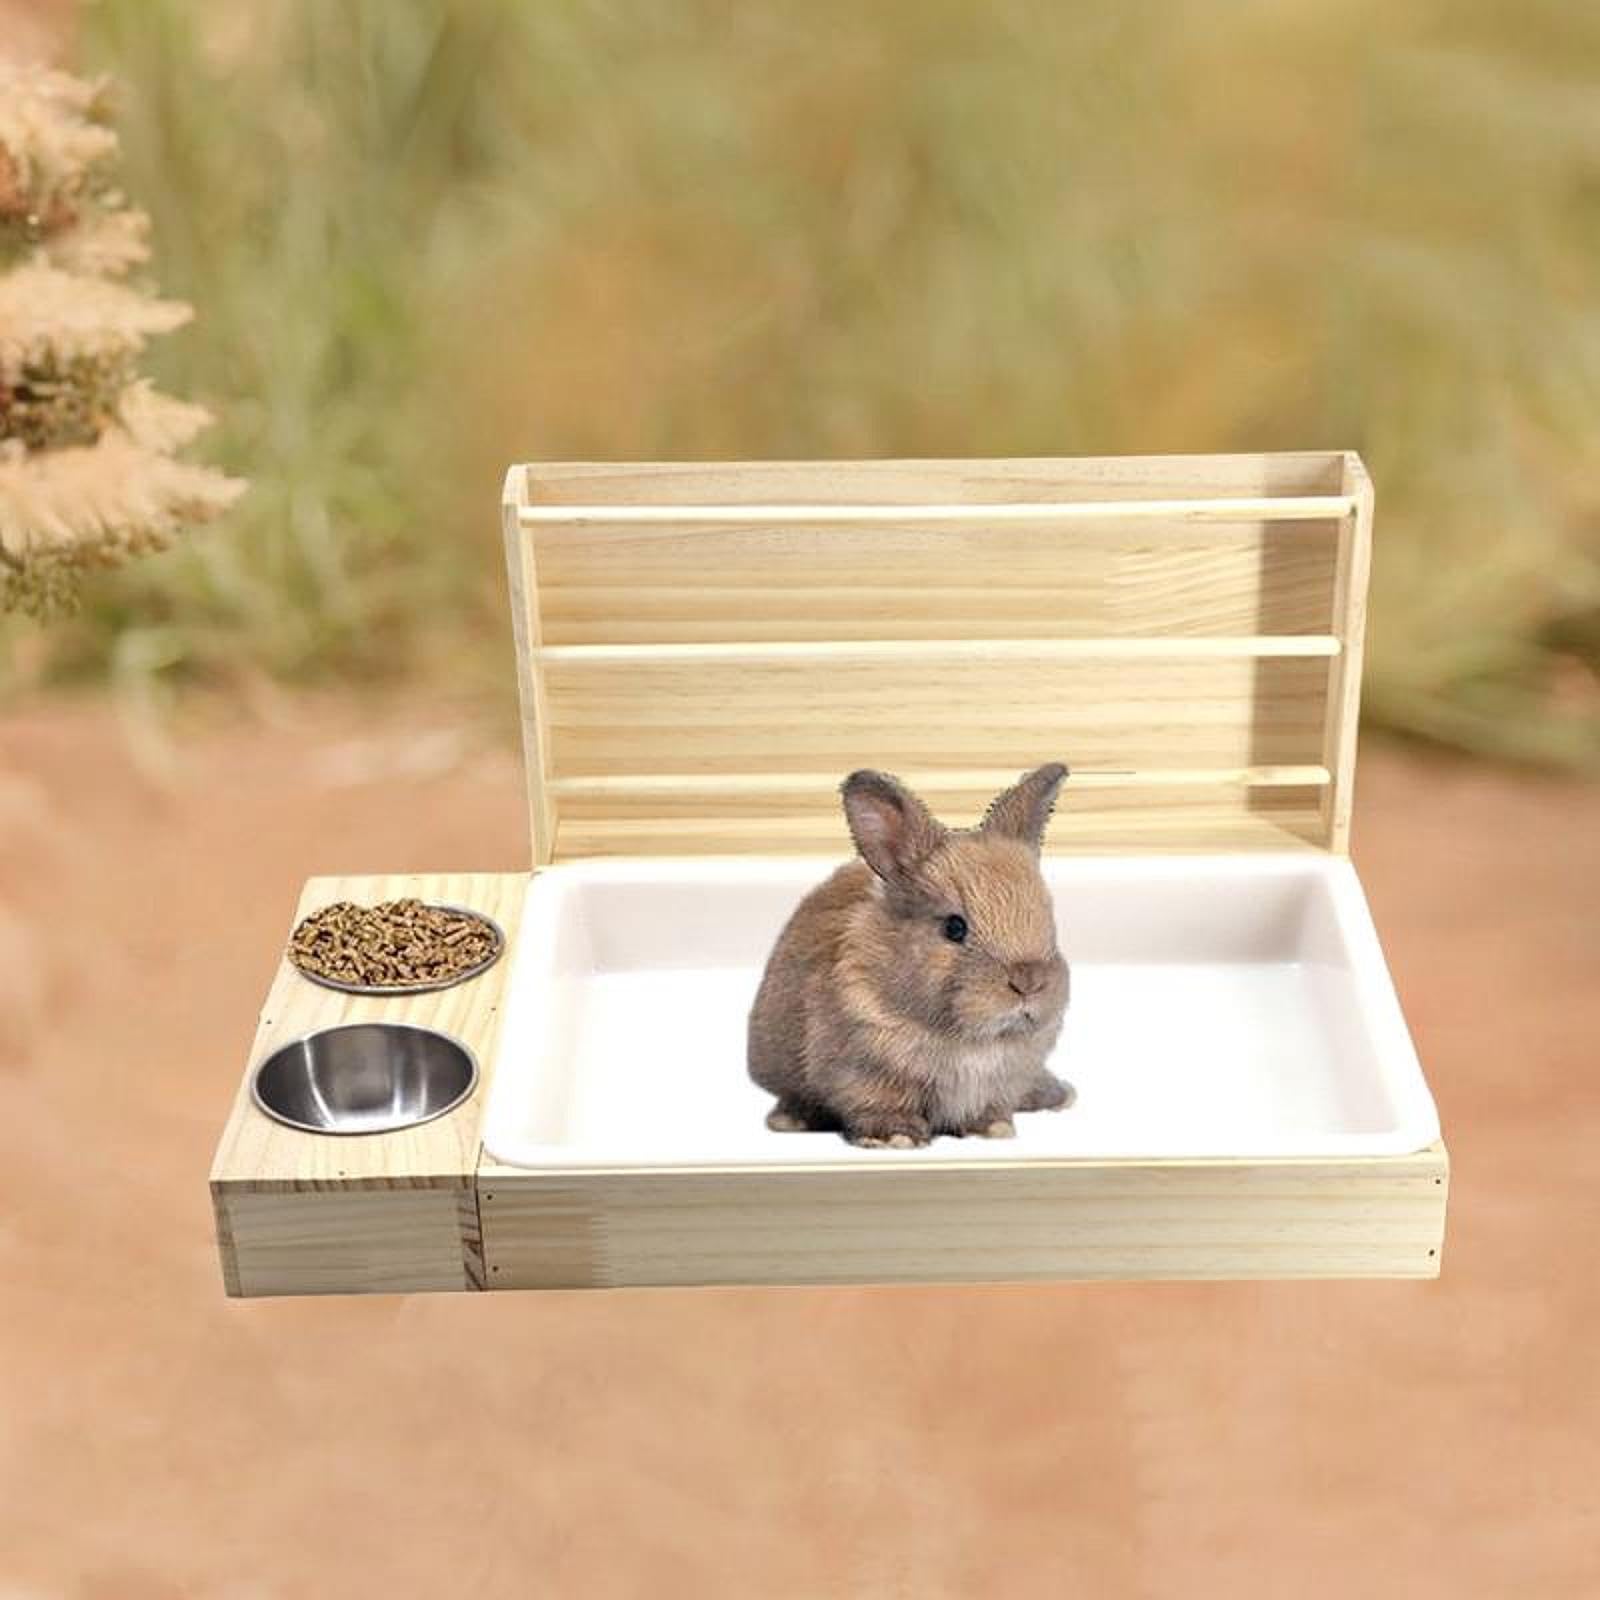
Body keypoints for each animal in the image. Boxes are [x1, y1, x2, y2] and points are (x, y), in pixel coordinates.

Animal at [748, 763, 1074, 1148]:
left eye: (1047, 914)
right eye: (954, 927)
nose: (1029, 982)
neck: (971, 1040)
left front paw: (993, 1129)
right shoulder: (865, 1074)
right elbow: (880, 1105)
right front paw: (896, 1138)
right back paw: (790, 1120)